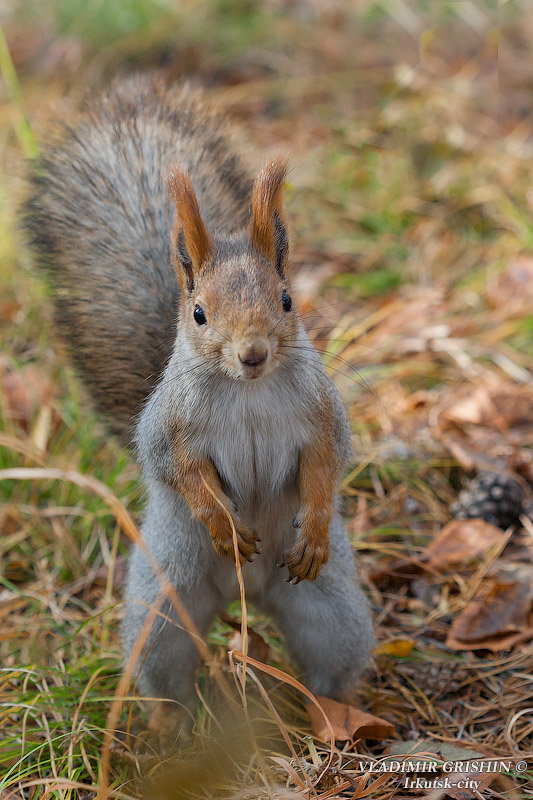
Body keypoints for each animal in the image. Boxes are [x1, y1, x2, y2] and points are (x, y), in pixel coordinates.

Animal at [23, 76, 374, 724]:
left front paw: (313, 528)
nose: (253, 353)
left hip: (332, 613)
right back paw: (171, 723)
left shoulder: (321, 415)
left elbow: (324, 464)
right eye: (200, 313)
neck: (250, 390)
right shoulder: (171, 428)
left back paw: (331, 714)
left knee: (330, 659)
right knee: (164, 668)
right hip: (164, 606)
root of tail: (248, 594)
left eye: (287, 299)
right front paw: (225, 524)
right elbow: (181, 471)